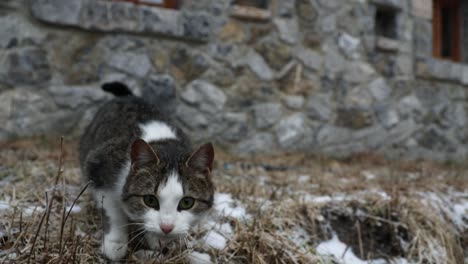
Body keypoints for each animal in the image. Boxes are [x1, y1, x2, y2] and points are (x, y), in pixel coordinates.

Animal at [79, 81, 216, 260]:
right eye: (150, 200)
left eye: (187, 202)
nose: (166, 227)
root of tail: (128, 96)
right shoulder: (99, 167)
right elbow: (113, 212)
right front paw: (115, 244)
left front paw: (155, 239)